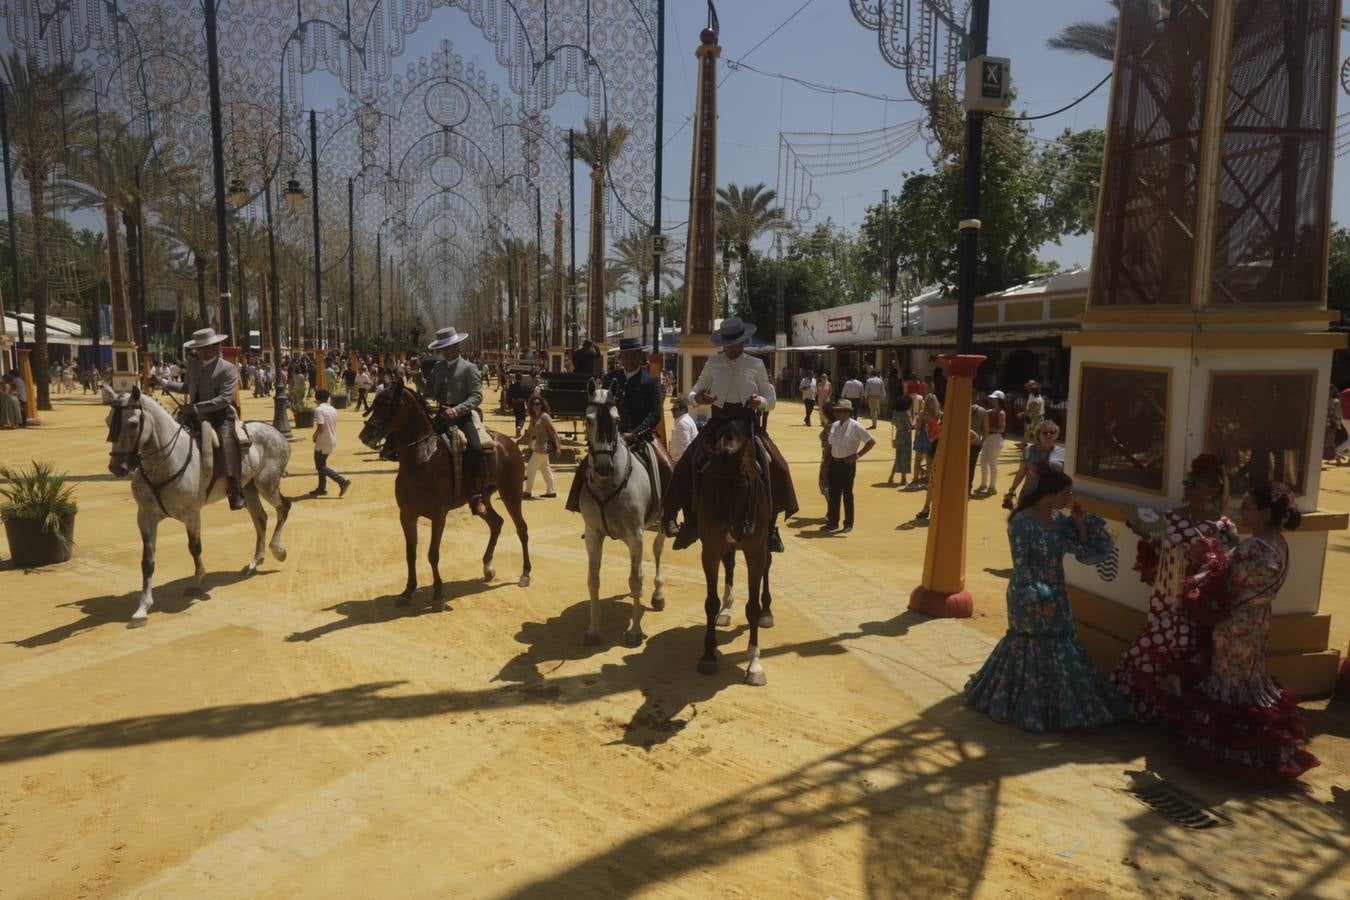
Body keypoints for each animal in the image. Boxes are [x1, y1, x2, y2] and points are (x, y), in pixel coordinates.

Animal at [104, 383, 292, 631]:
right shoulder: (145, 517)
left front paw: (198, 579)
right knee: (260, 519)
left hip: (266, 485)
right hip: (249, 488)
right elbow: (148, 562)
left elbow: (194, 547)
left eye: (133, 423)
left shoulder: (191, 515)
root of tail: (275, 432)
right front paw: (142, 609)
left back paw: (278, 551)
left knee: (283, 508)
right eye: (108, 421)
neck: (165, 462)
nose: (117, 467)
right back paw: (254, 562)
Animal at [361, 383, 529, 609]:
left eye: (389, 404)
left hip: (511, 492)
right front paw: (408, 591)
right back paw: (488, 567)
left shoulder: (439, 515)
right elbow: (410, 553)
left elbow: (433, 554)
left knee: (521, 529)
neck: (423, 457)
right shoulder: (407, 515)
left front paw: (438, 594)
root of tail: (509, 443)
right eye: (375, 403)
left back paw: (525, 574)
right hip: (483, 497)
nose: (365, 435)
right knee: (496, 523)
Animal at [577, 383, 666, 644]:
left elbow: (635, 580)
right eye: (588, 419)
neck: (607, 484)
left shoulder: (636, 536)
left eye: (616, 420)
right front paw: (593, 630)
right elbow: (593, 580)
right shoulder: (593, 534)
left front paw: (635, 631)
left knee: (657, 549)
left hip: (664, 520)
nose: (603, 467)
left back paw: (658, 595)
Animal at [691, 418, 777, 685]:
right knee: (729, 564)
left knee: (768, 564)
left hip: (764, 539)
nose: (737, 531)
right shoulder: (710, 548)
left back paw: (768, 611)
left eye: (744, 484)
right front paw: (708, 654)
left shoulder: (754, 548)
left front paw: (754, 663)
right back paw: (727, 610)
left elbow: (752, 607)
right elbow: (710, 602)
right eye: (714, 487)